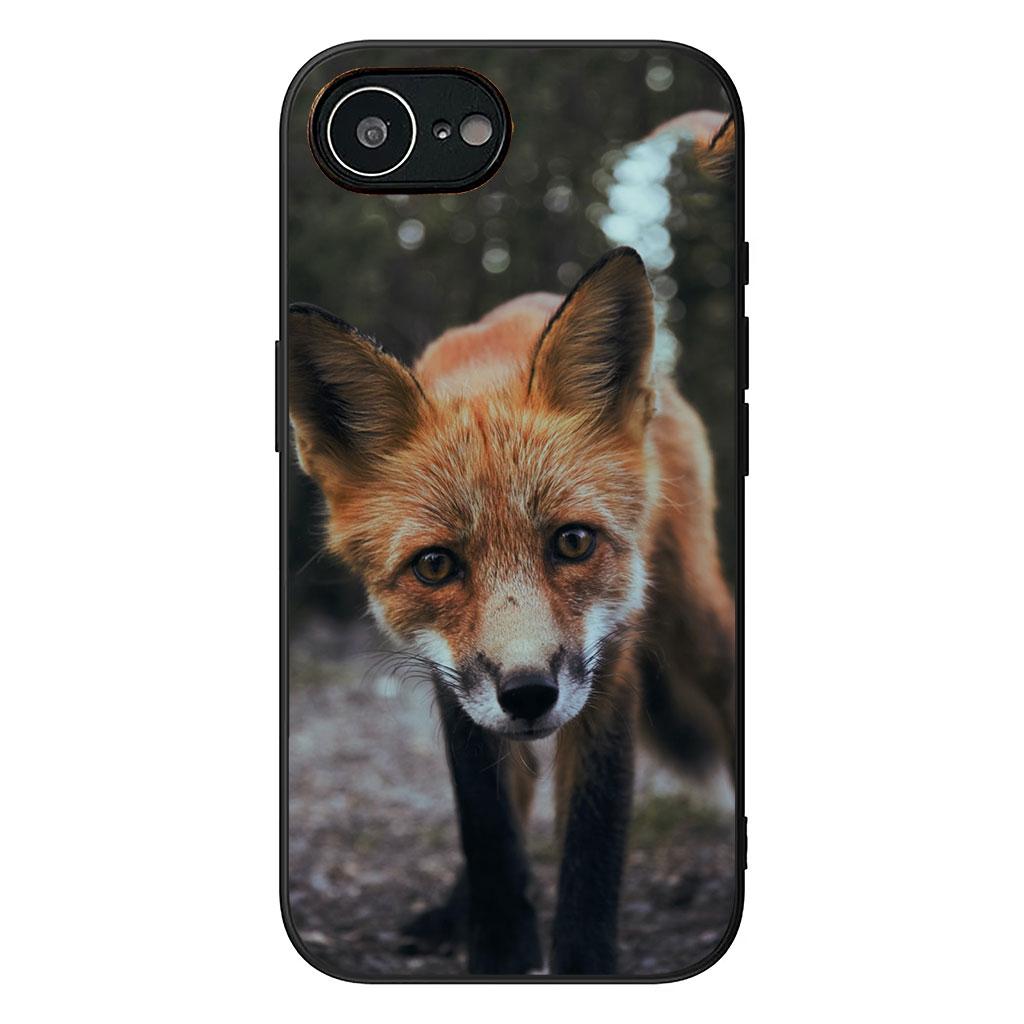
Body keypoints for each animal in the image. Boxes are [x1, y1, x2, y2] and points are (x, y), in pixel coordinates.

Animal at [287, 116, 736, 977]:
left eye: (573, 542)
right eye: (435, 565)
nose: (528, 694)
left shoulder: (611, 661)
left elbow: (593, 844)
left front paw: (582, 960)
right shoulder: (451, 680)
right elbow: (488, 828)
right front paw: (497, 944)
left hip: (699, 622)